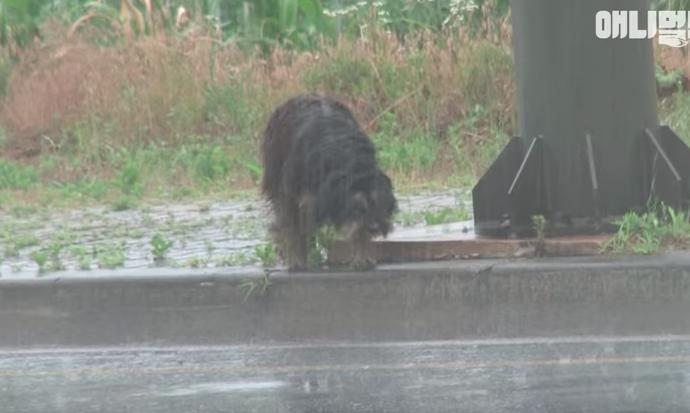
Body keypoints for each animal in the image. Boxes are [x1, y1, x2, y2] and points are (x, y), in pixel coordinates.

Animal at [261, 94, 397, 271]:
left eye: (378, 203)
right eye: (358, 207)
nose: (374, 228)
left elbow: (356, 232)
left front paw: (362, 257)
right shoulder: (296, 192)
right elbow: (294, 227)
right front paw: (297, 259)